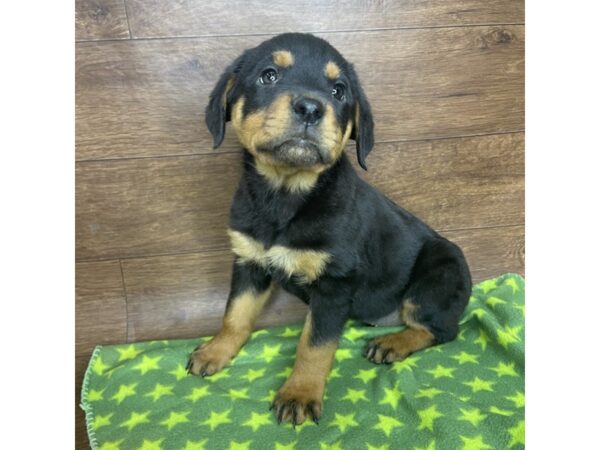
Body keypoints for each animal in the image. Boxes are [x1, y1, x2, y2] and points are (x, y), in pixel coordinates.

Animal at [188, 32, 474, 426]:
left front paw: (299, 394)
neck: (285, 194)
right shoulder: (250, 262)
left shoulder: (334, 284)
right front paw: (215, 351)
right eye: (268, 75)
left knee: (440, 328)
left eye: (339, 91)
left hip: (437, 273)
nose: (310, 108)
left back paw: (392, 343)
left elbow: (314, 345)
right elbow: (235, 315)